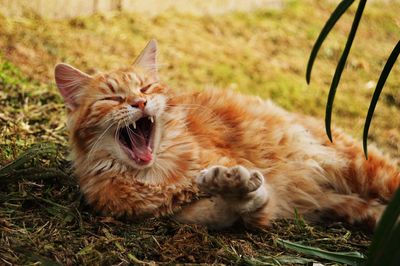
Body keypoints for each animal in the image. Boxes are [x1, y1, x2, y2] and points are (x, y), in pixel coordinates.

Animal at [54, 40, 398, 230]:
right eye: (112, 98)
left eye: (146, 88)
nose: (139, 103)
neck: (155, 176)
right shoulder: (183, 215)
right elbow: (237, 208)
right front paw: (231, 190)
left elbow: (250, 187)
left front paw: (231, 183)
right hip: (345, 204)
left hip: (364, 168)